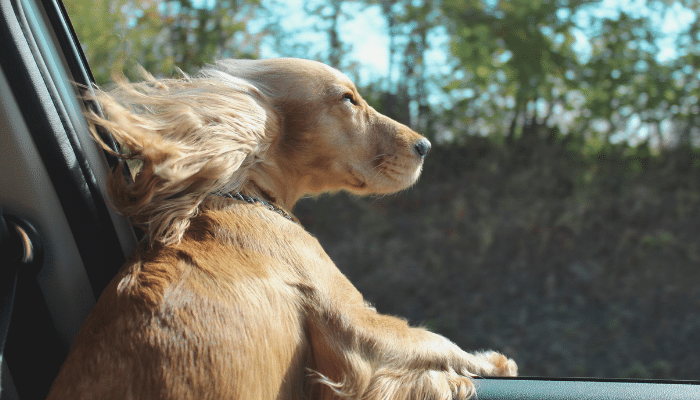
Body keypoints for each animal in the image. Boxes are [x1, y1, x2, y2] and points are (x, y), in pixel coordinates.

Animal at [43, 57, 516, 400]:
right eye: (348, 99)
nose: (425, 146)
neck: (245, 195)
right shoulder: (354, 324)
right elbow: (434, 340)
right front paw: (488, 365)